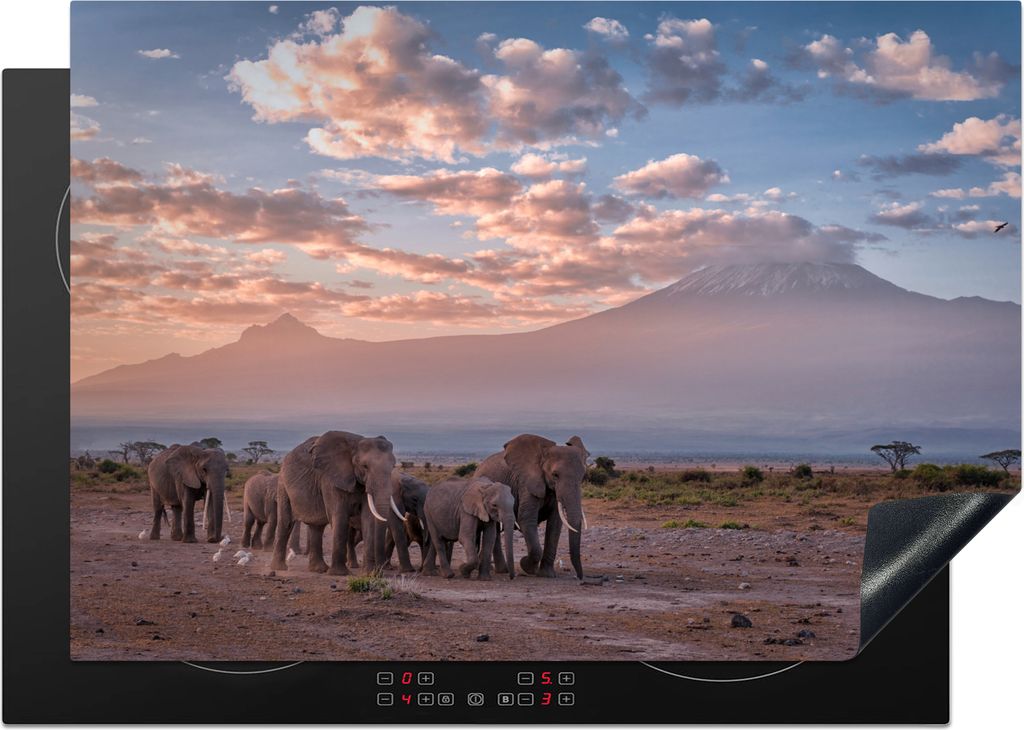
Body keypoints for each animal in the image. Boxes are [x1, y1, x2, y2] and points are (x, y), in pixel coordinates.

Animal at [271, 431, 396, 575]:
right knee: (286, 523)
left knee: (317, 527)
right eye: (365, 466)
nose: (378, 571)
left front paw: (369, 573)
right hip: (282, 485)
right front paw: (339, 573)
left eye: (393, 467)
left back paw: (319, 569)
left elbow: (368, 518)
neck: (355, 444)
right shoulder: (330, 478)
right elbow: (339, 516)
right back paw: (279, 568)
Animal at [475, 434, 588, 580]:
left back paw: (502, 570)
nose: (580, 577)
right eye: (555, 475)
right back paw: (501, 570)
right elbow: (526, 519)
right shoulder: (526, 484)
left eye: (582, 476)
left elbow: (555, 525)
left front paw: (547, 575)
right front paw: (527, 566)